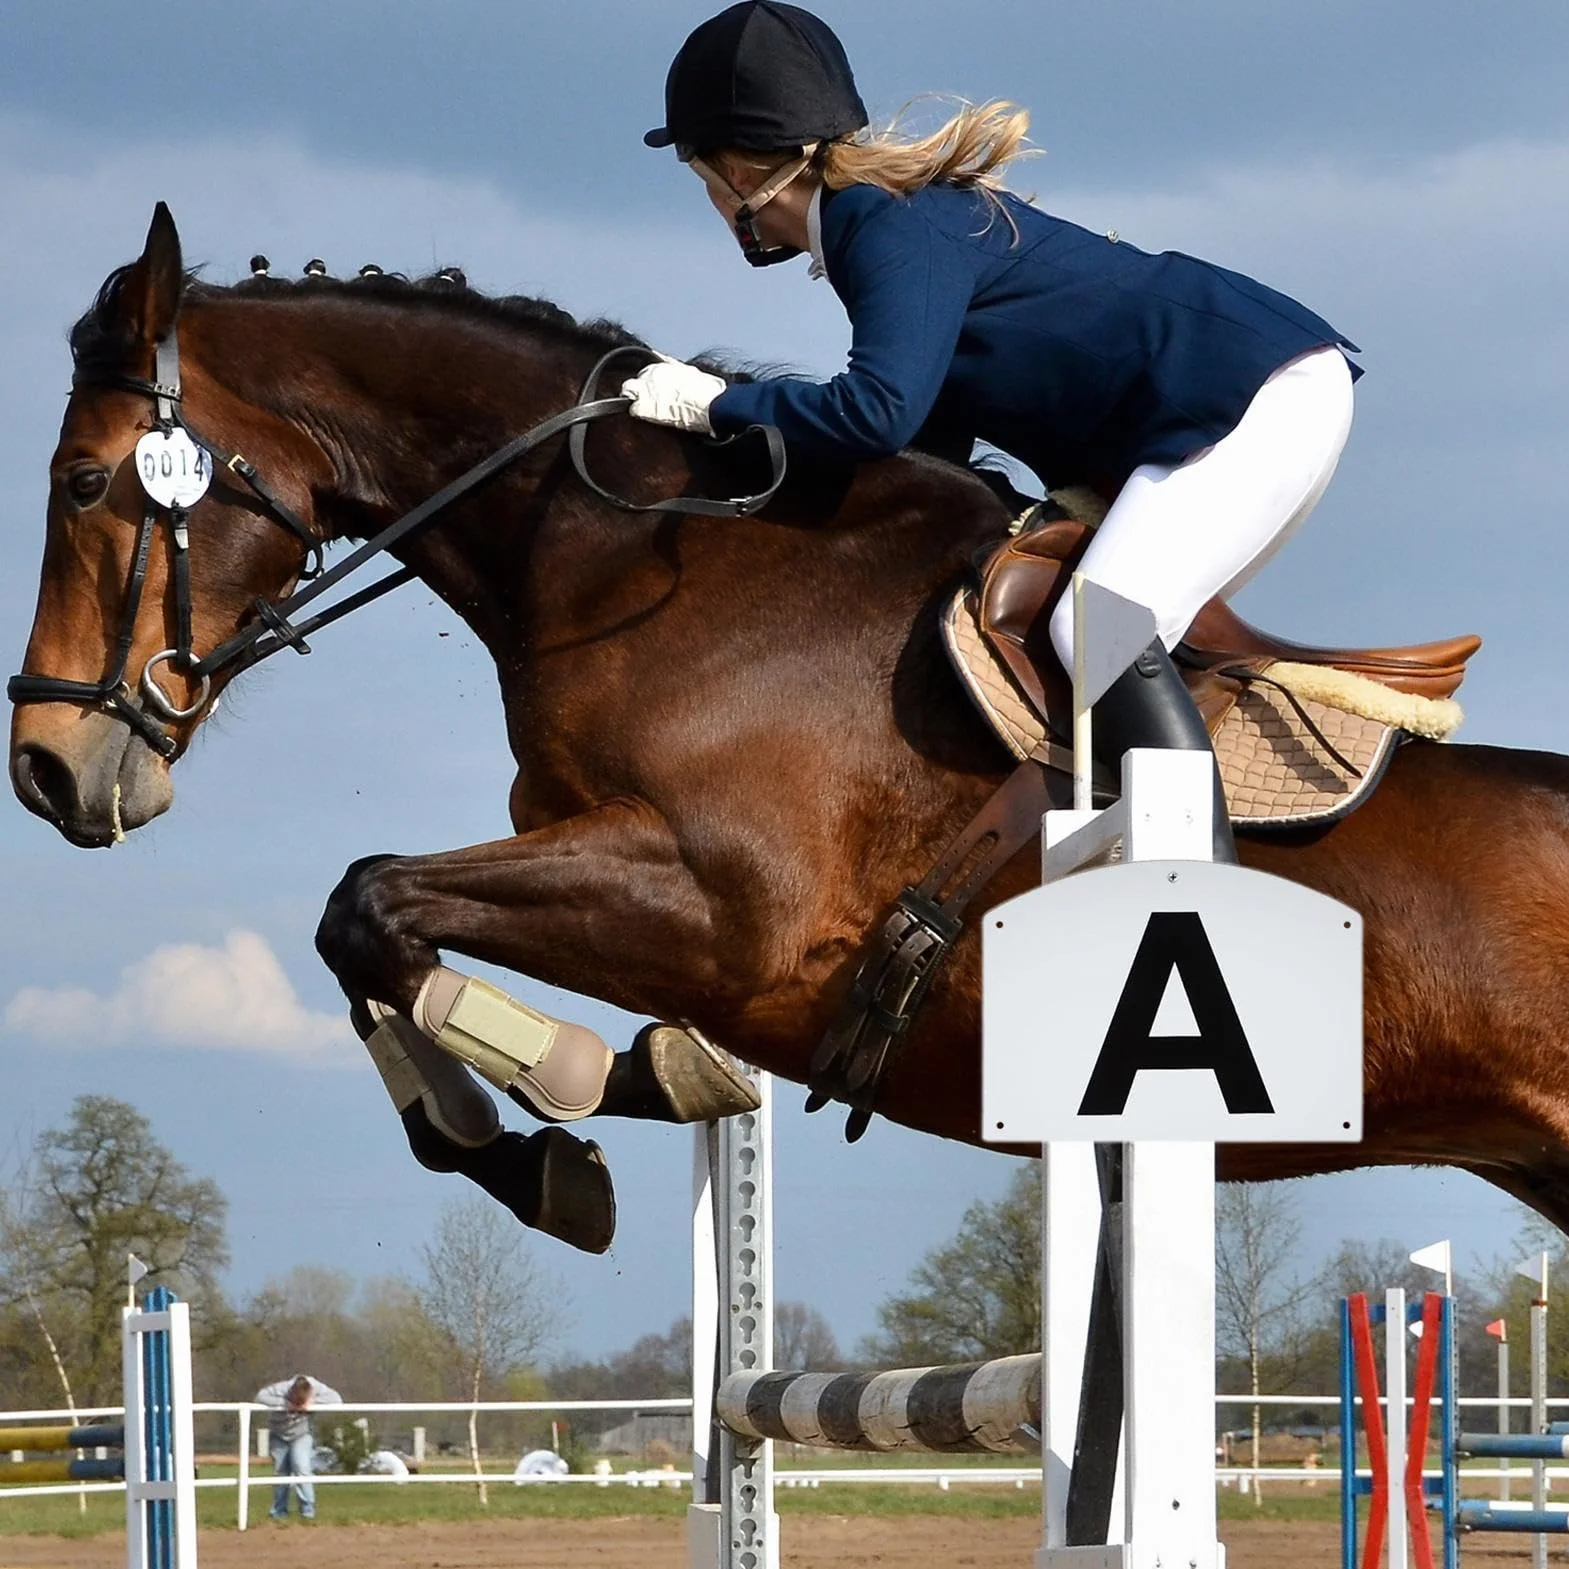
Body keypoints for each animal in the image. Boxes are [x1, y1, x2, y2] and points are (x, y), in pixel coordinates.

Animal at [13, 206, 1569, 1255]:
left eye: (84, 481)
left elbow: (371, 903)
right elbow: (367, 934)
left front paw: (548, 1127)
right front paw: (608, 1102)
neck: (649, 565)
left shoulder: (727, 908)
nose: (43, 769)